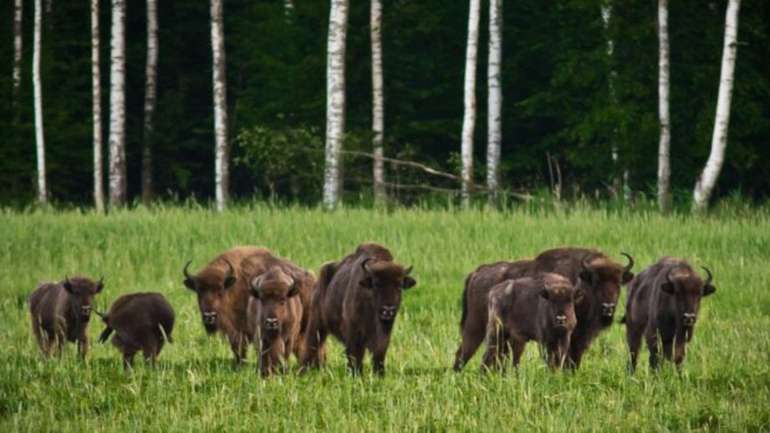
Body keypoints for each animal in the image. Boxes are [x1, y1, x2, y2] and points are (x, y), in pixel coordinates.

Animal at [302, 243, 416, 374]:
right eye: (376, 284)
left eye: (399, 285)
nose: (388, 310)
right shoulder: (354, 334)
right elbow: (355, 355)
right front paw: (356, 374)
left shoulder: (384, 336)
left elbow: (379, 355)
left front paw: (380, 374)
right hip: (317, 323)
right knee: (312, 344)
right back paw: (305, 369)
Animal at [450, 248, 632, 370]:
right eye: (596, 281)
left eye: (618, 283)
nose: (608, 308)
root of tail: (477, 273)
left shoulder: (579, 339)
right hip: (476, 327)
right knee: (464, 353)